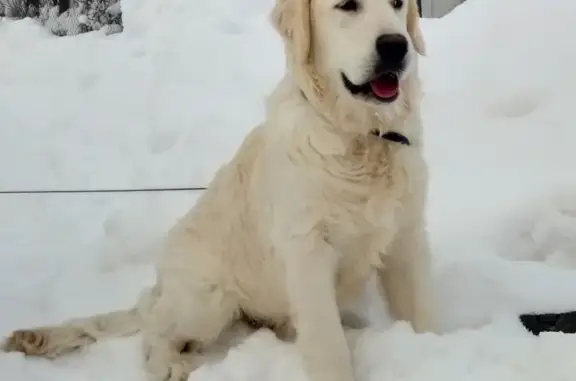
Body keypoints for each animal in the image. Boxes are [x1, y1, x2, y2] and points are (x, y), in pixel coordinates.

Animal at [1, 0, 432, 380]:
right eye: (347, 6)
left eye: (397, 4)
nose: (396, 46)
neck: (362, 138)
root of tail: (161, 284)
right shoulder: (307, 250)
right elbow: (327, 344)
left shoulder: (406, 236)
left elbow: (418, 310)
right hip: (207, 299)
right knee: (154, 330)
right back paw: (172, 365)